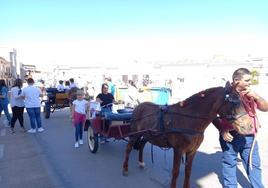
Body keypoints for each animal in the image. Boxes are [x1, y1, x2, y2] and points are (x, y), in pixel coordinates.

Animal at [121, 83, 251, 188]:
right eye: (235, 102)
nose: (248, 126)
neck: (189, 119)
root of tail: (139, 105)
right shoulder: (178, 150)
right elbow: (176, 171)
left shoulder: (192, 150)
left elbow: (188, 171)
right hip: (135, 134)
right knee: (128, 148)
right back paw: (125, 168)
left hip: (148, 134)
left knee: (142, 144)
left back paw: (141, 162)